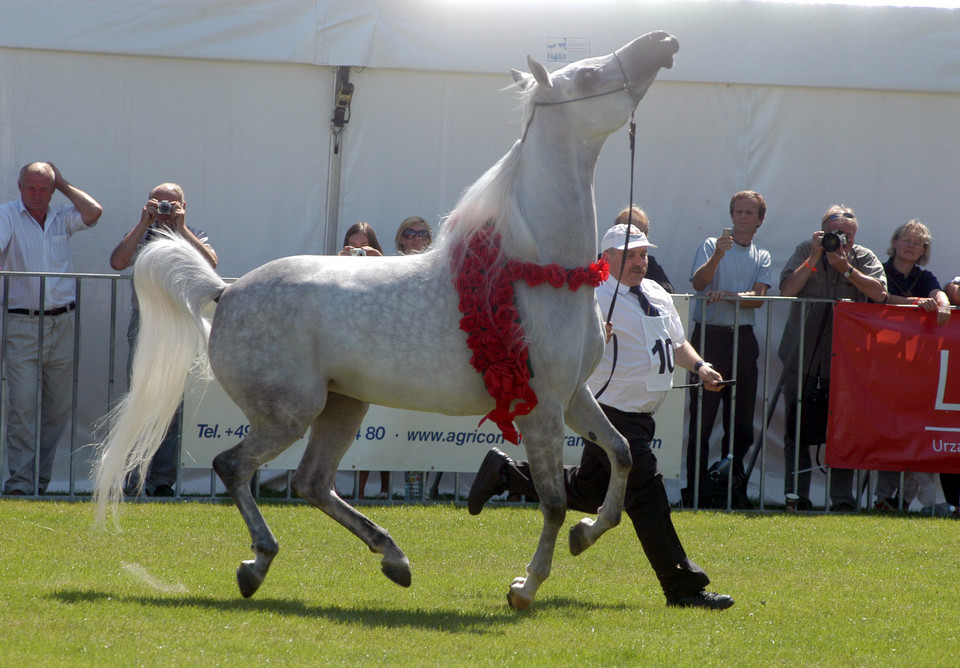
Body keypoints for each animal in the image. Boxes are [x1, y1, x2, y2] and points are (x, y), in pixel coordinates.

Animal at [95, 35, 676, 612]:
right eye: (588, 76)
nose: (662, 43)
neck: (534, 269)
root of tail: (226, 290)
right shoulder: (541, 407)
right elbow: (553, 500)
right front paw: (524, 587)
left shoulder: (574, 395)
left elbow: (622, 455)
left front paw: (585, 534)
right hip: (291, 413)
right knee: (234, 467)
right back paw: (258, 563)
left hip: (343, 405)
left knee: (311, 481)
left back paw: (393, 558)